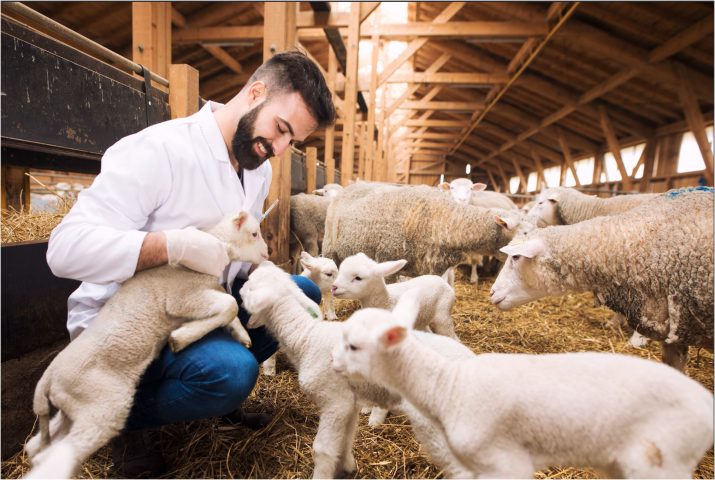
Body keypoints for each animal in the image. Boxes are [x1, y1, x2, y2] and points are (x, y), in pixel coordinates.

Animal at [24, 213, 268, 480]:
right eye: (254, 233)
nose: (267, 254)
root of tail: (47, 379)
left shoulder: (203, 292)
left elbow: (228, 305)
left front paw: (241, 334)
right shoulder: (182, 297)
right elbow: (230, 303)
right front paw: (180, 337)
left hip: (72, 409)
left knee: (36, 447)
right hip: (100, 404)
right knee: (57, 456)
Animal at [338, 308, 715, 480]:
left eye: (354, 345)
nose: (333, 362)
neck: (450, 385)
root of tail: (705, 403)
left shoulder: (505, 462)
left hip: (662, 461)